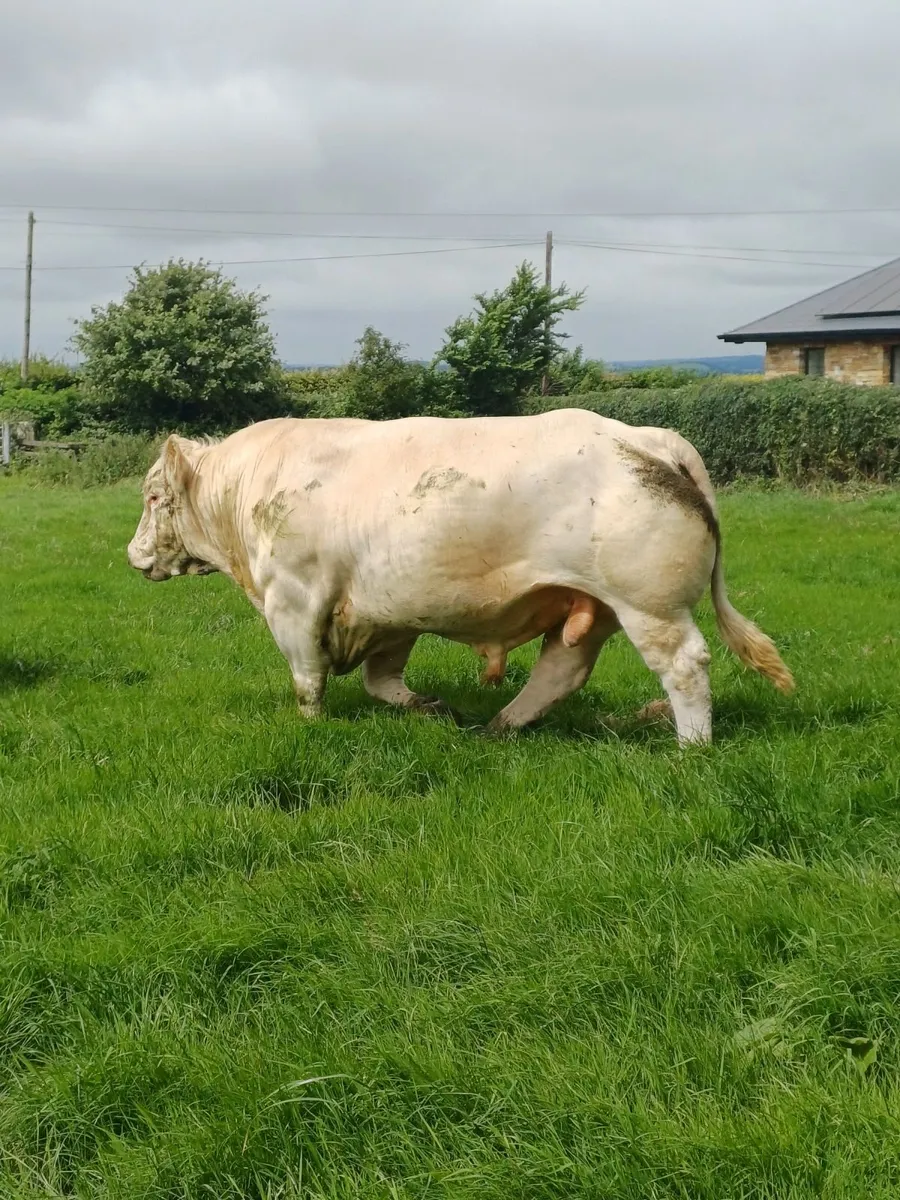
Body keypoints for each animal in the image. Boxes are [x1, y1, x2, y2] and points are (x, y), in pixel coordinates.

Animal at [127, 410, 794, 745]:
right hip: (595, 606)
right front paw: (429, 708)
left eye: (154, 497)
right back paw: (500, 726)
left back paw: (691, 747)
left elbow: (307, 679)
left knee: (684, 666)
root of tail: (650, 438)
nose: (133, 555)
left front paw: (310, 727)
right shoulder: (385, 611)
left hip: (648, 603)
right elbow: (381, 680)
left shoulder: (293, 599)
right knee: (561, 670)